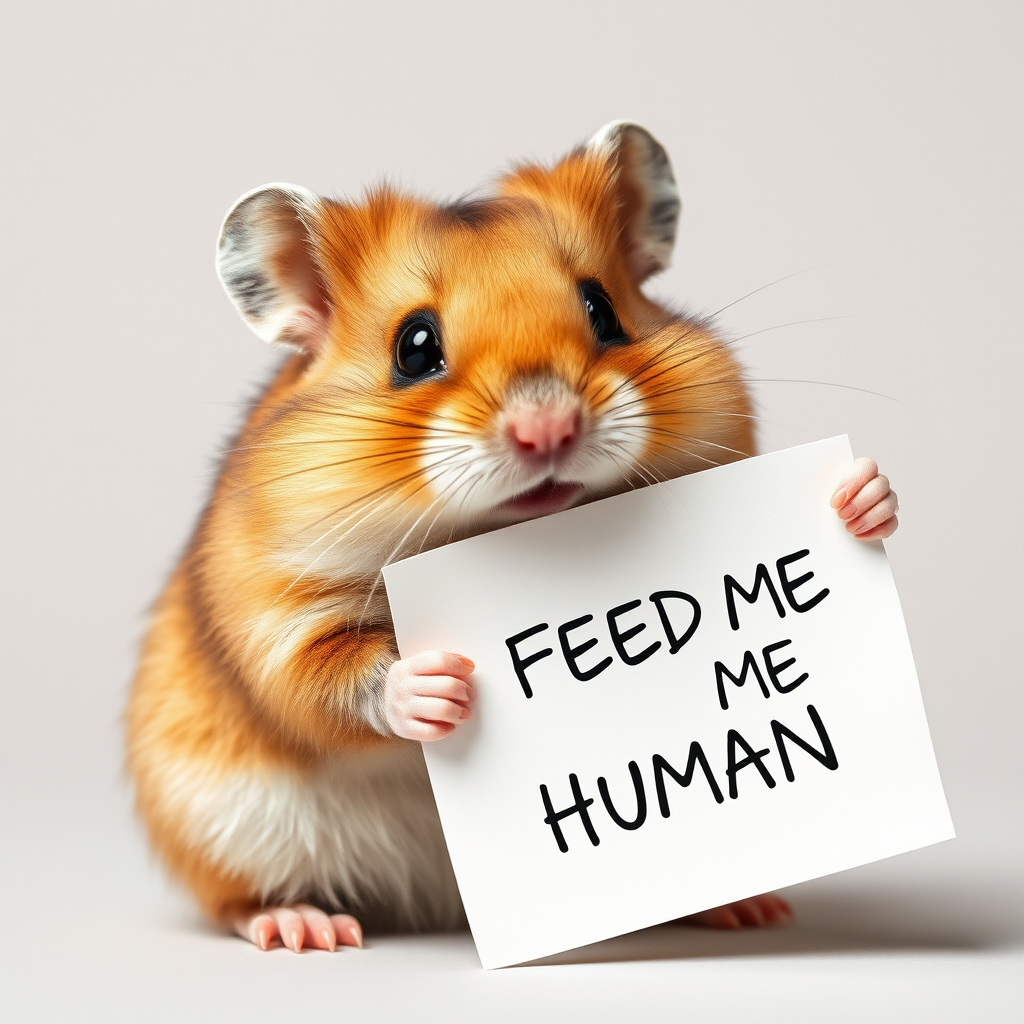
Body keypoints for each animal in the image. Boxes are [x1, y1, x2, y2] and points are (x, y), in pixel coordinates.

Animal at [126, 122, 899, 952]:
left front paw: (863, 498)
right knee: (237, 899)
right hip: (216, 824)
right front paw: (441, 687)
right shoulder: (277, 618)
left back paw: (745, 908)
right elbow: (329, 679)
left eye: (602, 309)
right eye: (414, 347)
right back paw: (308, 929)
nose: (548, 429)